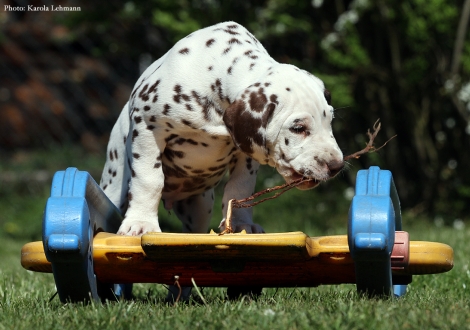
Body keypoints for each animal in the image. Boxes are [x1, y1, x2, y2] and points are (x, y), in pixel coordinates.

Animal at [101, 21, 344, 237]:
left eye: (330, 121)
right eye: (298, 128)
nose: (337, 166)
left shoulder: (245, 155)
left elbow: (240, 188)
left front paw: (240, 224)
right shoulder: (148, 128)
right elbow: (149, 180)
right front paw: (141, 223)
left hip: (199, 207)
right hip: (113, 185)